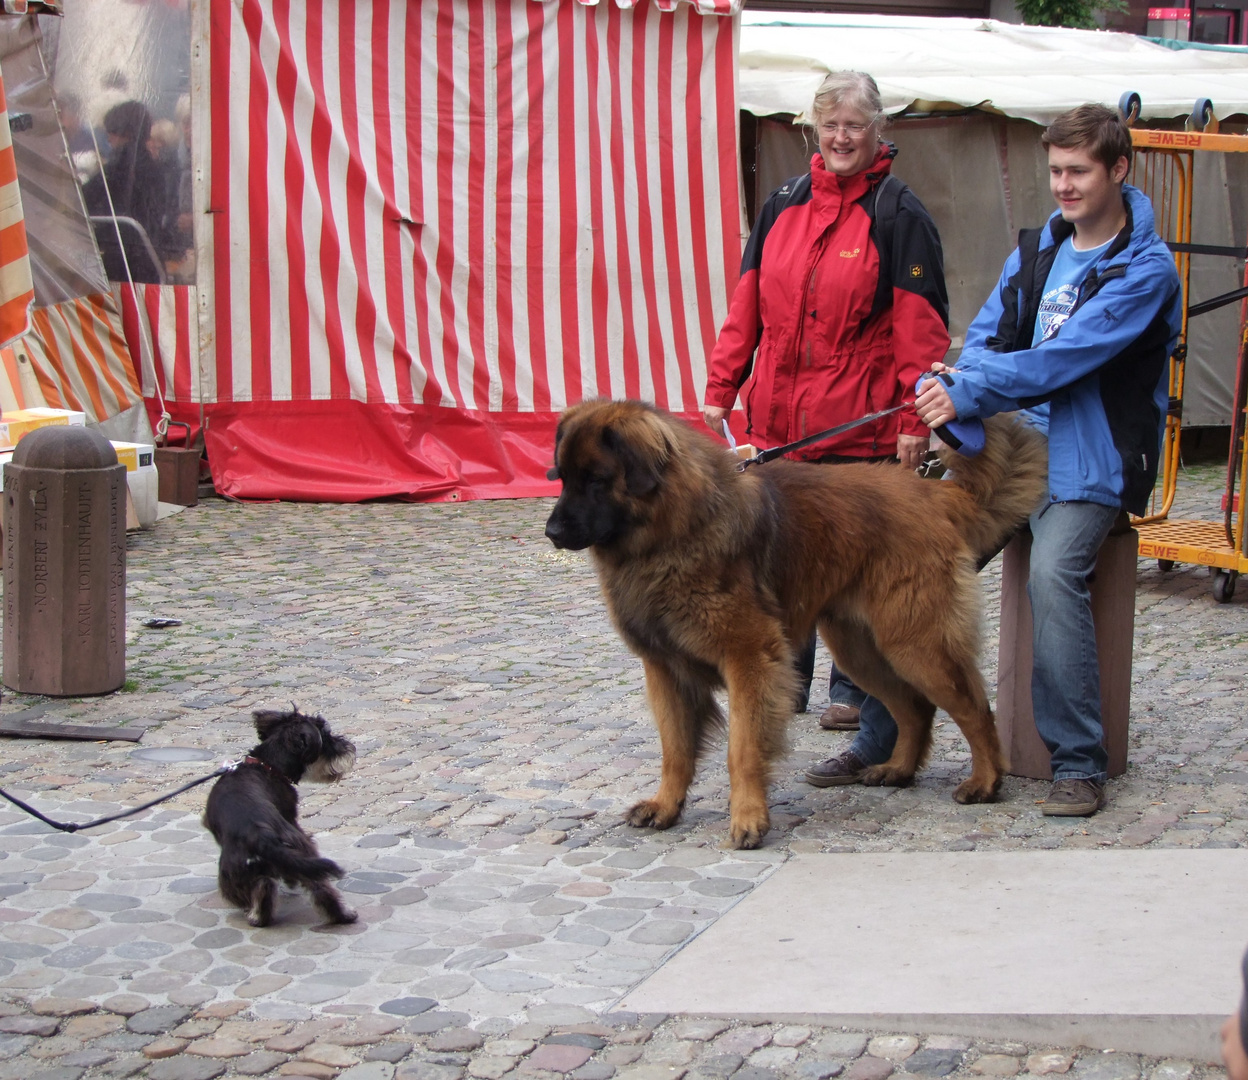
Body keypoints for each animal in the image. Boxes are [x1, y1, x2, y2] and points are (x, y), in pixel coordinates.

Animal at [199, 709, 356, 928]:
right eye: (327, 738)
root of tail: (261, 835)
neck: (268, 765)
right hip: (296, 852)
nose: (350, 749)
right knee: (311, 887)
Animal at [546, 399, 1043, 849]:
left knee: (974, 709)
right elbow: (675, 749)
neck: (672, 531)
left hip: (915, 644)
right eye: (563, 478)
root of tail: (934, 493)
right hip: (861, 650)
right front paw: (666, 806)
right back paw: (898, 770)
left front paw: (748, 817)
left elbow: (741, 749)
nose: (551, 532)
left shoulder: (750, 657)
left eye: (596, 480)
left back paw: (986, 782)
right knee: (915, 708)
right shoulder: (665, 668)